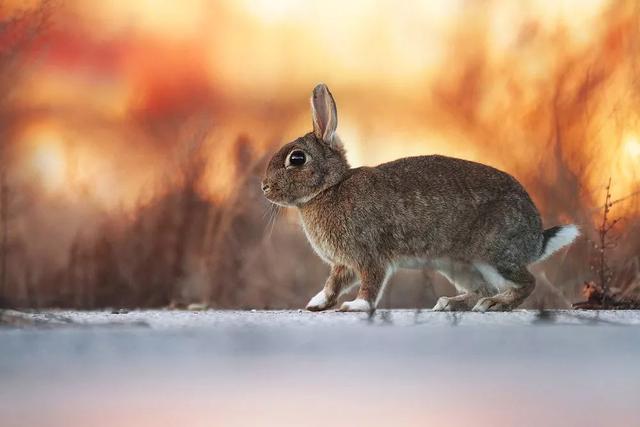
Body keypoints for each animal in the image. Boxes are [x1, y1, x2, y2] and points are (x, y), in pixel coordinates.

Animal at [260, 83, 580, 312]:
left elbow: (370, 283)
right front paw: (317, 304)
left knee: (526, 283)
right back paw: (451, 303)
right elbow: (333, 283)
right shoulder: (344, 263)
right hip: (458, 265)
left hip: (494, 253)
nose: (264, 187)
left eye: (297, 159)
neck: (330, 188)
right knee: (484, 288)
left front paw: (356, 306)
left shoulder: (370, 253)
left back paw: (493, 305)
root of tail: (536, 238)